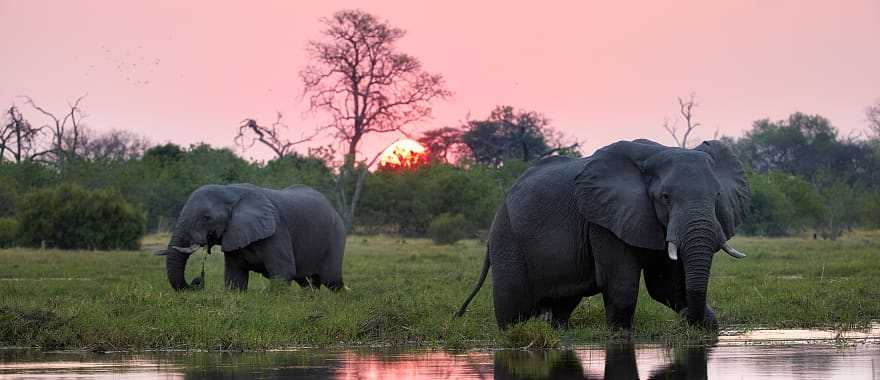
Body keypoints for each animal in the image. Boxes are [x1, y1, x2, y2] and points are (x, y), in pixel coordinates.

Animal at [158, 184, 348, 290]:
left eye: (206, 217)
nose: (197, 281)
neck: (231, 191)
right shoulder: (233, 235)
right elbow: (235, 276)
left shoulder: (276, 230)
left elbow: (283, 272)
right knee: (307, 282)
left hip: (336, 235)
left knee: (331, 280)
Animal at [458, 139, 752, 330]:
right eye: (665, 198)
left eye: (717, 196)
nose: (689, 319)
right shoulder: (602, 220)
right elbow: (623, 285)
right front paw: (620, 335)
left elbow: (667, 286)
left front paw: (706, 328)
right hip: (507, 237)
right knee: (512, 305)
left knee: (562, 305)